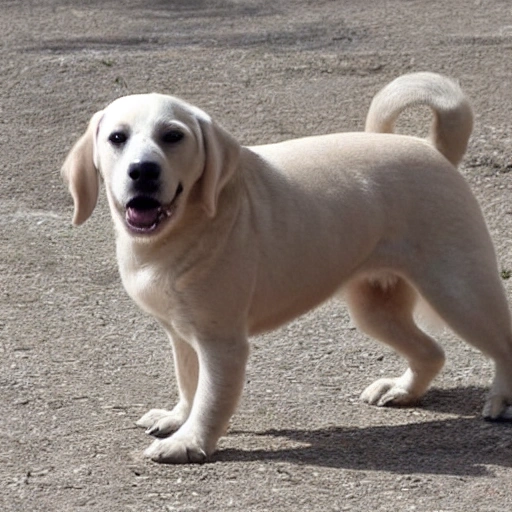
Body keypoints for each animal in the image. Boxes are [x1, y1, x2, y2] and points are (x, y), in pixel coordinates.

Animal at [62, 73, 512, 464]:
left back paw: (501, 400)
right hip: (375, 309)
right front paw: (178, 419)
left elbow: (211, 399)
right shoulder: (182, 333)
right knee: (432, 352)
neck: (188, 229)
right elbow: (189, 384)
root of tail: (433, 148)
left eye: (173, 136)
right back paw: (402, 390)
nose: (143, 171)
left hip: (460, 292)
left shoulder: (222, 343)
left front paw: (190, 443)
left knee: (502, 343)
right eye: (117, 138)